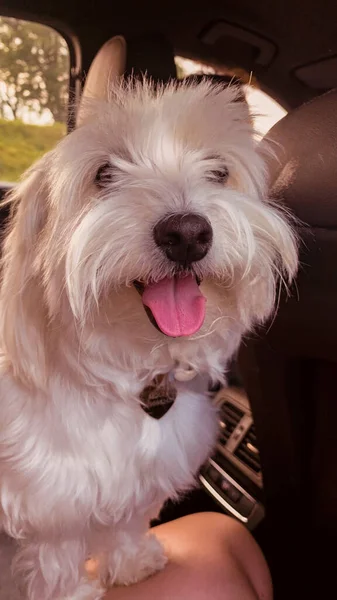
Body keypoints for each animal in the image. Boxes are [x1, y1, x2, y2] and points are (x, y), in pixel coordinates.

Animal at [0, 79, 296, 600]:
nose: (187, 233)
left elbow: (125, 519)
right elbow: (54, 557)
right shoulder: (48, 499)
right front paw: (72, 592)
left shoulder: (144, 469)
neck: (133, 366)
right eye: (103, 173)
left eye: (219, 170)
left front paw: (132, 562)